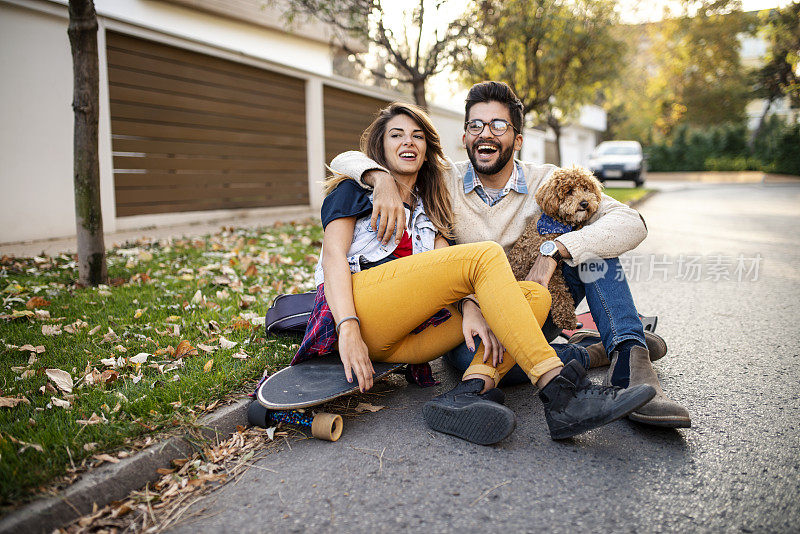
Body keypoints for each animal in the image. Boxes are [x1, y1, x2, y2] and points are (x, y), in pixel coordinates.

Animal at [510, 166, 604, 330]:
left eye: (585, 188)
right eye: (569, 191)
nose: (585, 203)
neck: (558, 224)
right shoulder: (551, 273)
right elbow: (560, 291)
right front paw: (566, 317)